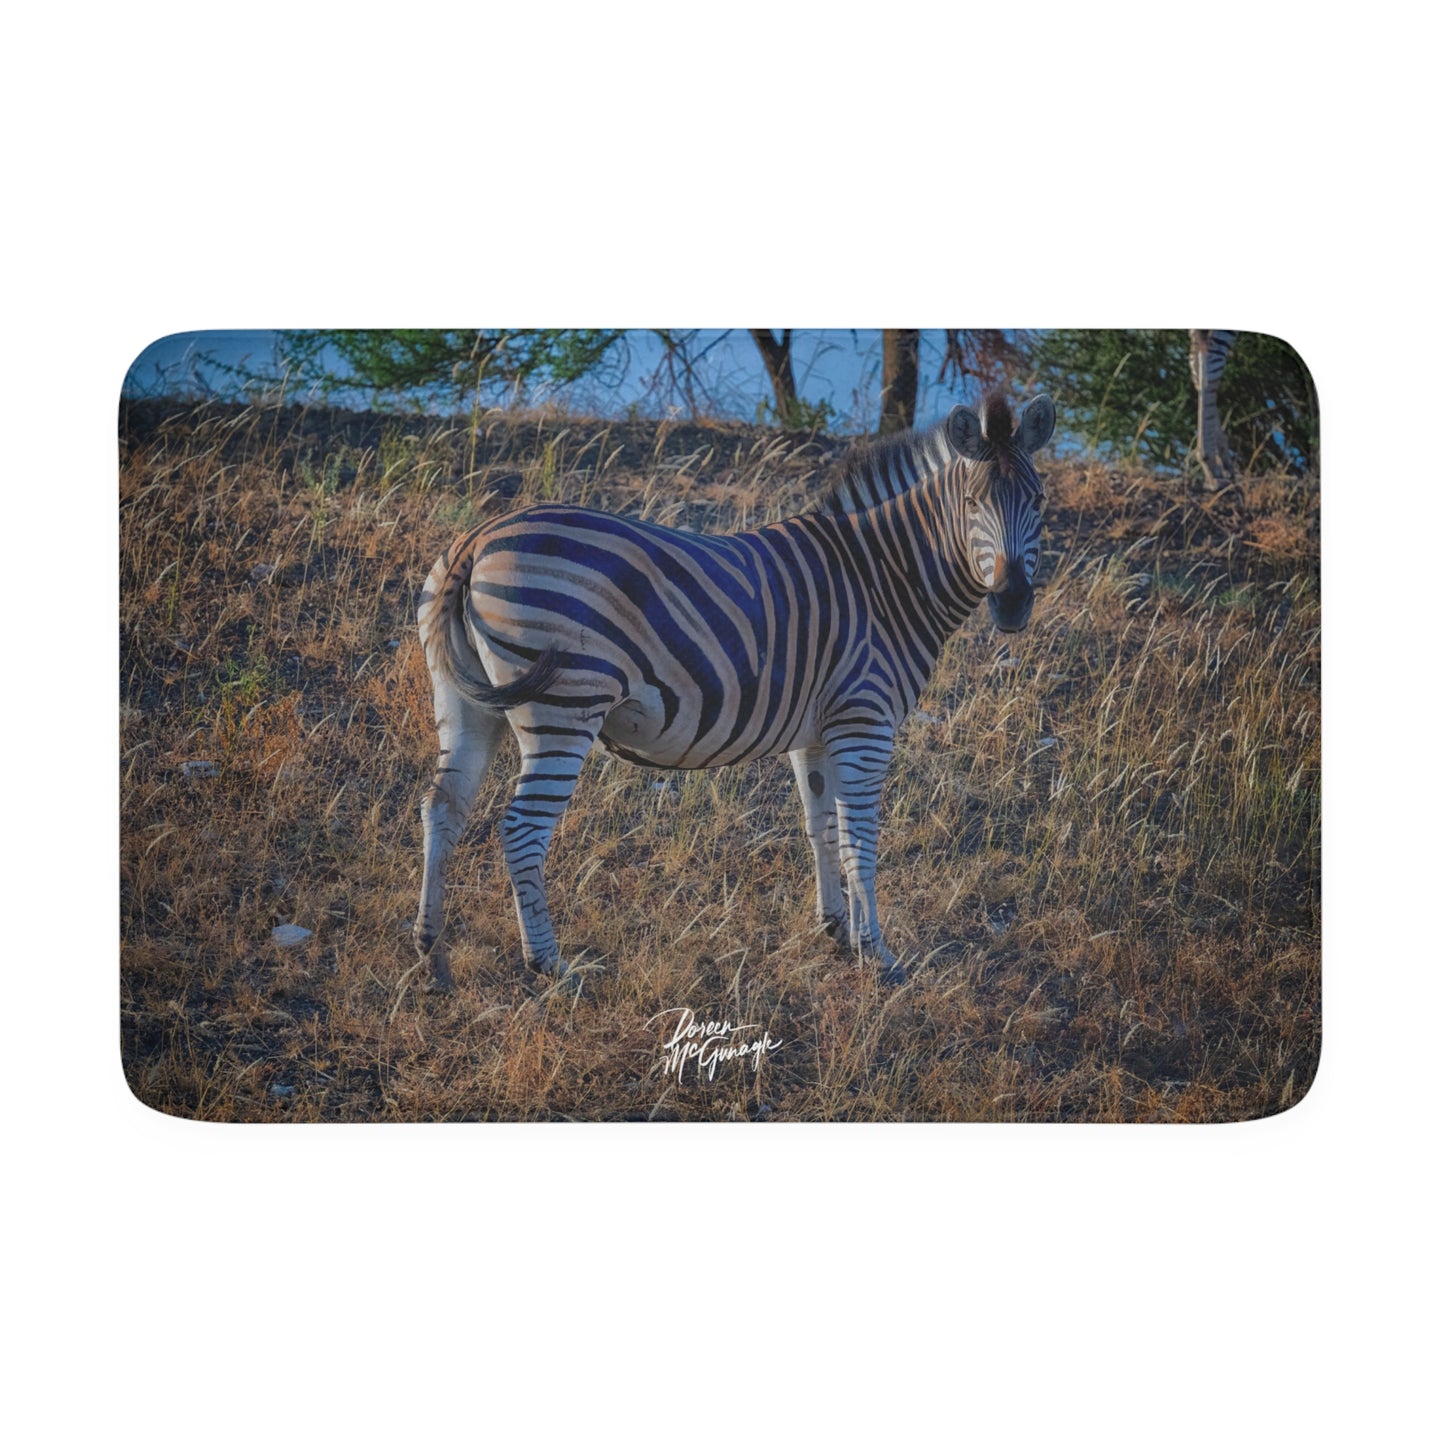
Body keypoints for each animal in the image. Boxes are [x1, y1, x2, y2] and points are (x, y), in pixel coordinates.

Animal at [412, 392, 1055, 989]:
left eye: (1038, 502)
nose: (1013, 603)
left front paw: (836, 930)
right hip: (563, 707)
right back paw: (549, 965)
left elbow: (820, 827)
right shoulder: (864, 722)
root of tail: (476, 539)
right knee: (521, 831)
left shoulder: (816, 733)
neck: (883, 580)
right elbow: (859, 839)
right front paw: (878, 954)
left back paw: (432, 951)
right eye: (972, 504)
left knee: (443, 808)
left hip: (463, 702)